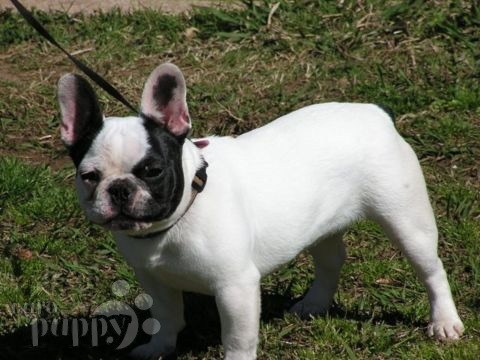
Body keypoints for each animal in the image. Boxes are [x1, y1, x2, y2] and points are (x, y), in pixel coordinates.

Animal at [57, 63, 464, 358]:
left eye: (152, 171)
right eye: (88, 176)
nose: (120, 188)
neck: (179, 217)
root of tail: (375, 114)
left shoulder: (235, 287)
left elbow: (237, 340)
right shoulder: (153, 278)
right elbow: (167, 316)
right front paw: (158, 348)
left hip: (405, 220)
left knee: (431, 270)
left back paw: (444, 322)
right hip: (321, 224)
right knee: (331, 260)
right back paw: (313, 303)